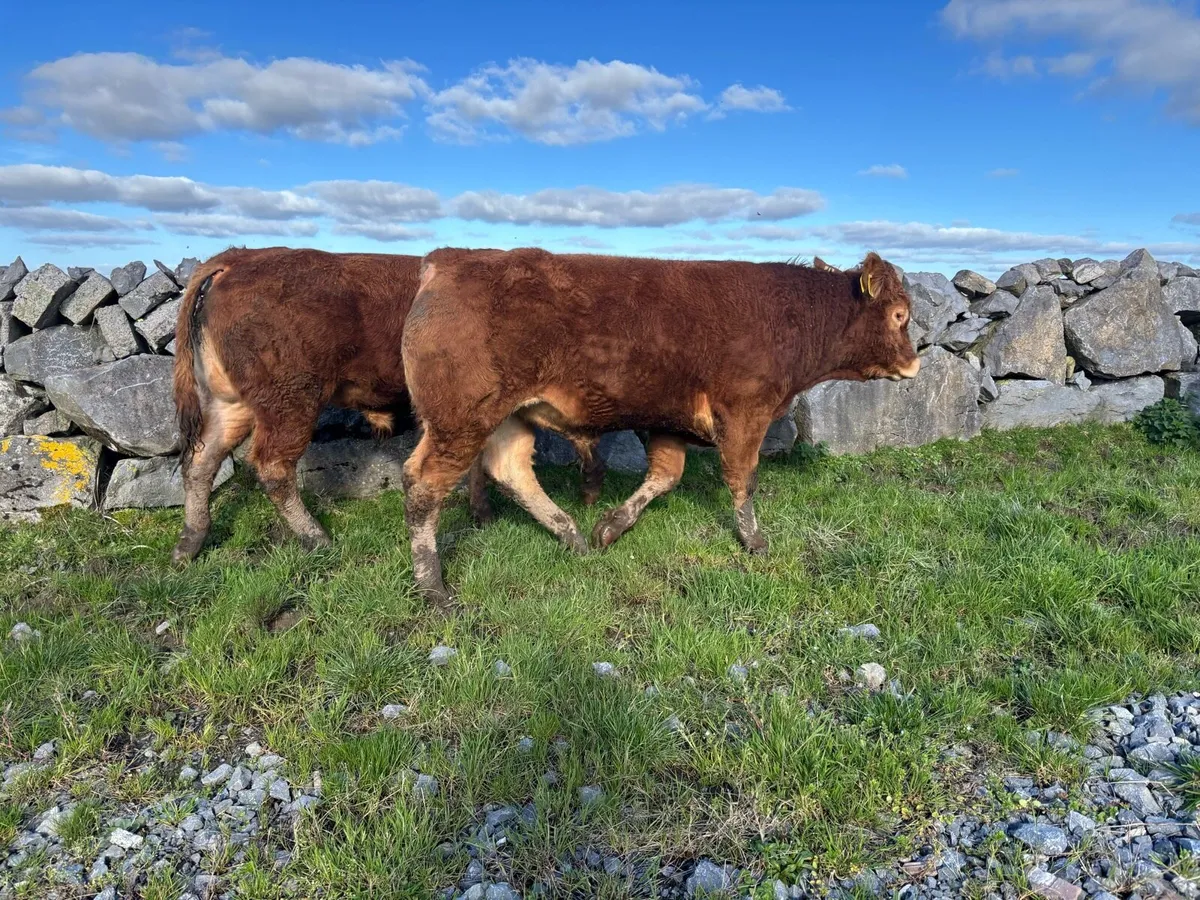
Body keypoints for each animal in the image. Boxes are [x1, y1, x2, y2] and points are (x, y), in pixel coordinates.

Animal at [169, 245, 610, 566]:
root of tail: (239, 258)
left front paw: (481, 514)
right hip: (289, 405)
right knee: (272, 467)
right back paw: (318, 539)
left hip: (231, 404)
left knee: (201, 461)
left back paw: (189, 544)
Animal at [399, 248, 921, 603]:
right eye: (900, 315)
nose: (914, 364)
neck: (790, 316)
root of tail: (446, 260)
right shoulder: (745, 414)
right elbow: (743, 481)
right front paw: (754, 542)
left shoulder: (673, 421)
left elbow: (666, 476)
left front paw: (610, 527)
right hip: (459, 419)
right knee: (424, 485)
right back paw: (434, 590)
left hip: (505, 416)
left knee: (510, 470)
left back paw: (571, 536)